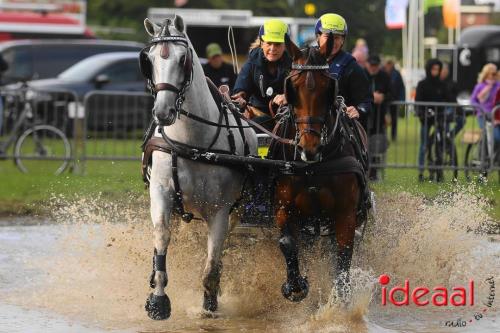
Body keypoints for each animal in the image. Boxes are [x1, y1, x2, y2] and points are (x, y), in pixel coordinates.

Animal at [270, 37, 368, 302]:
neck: (312, 167)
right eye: (292, 87)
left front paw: (340, 300)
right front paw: (295, 286)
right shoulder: (284, 208)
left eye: (328, 89)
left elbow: (343, 257)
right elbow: (286, 243)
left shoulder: (345, 214)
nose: (309, 147)